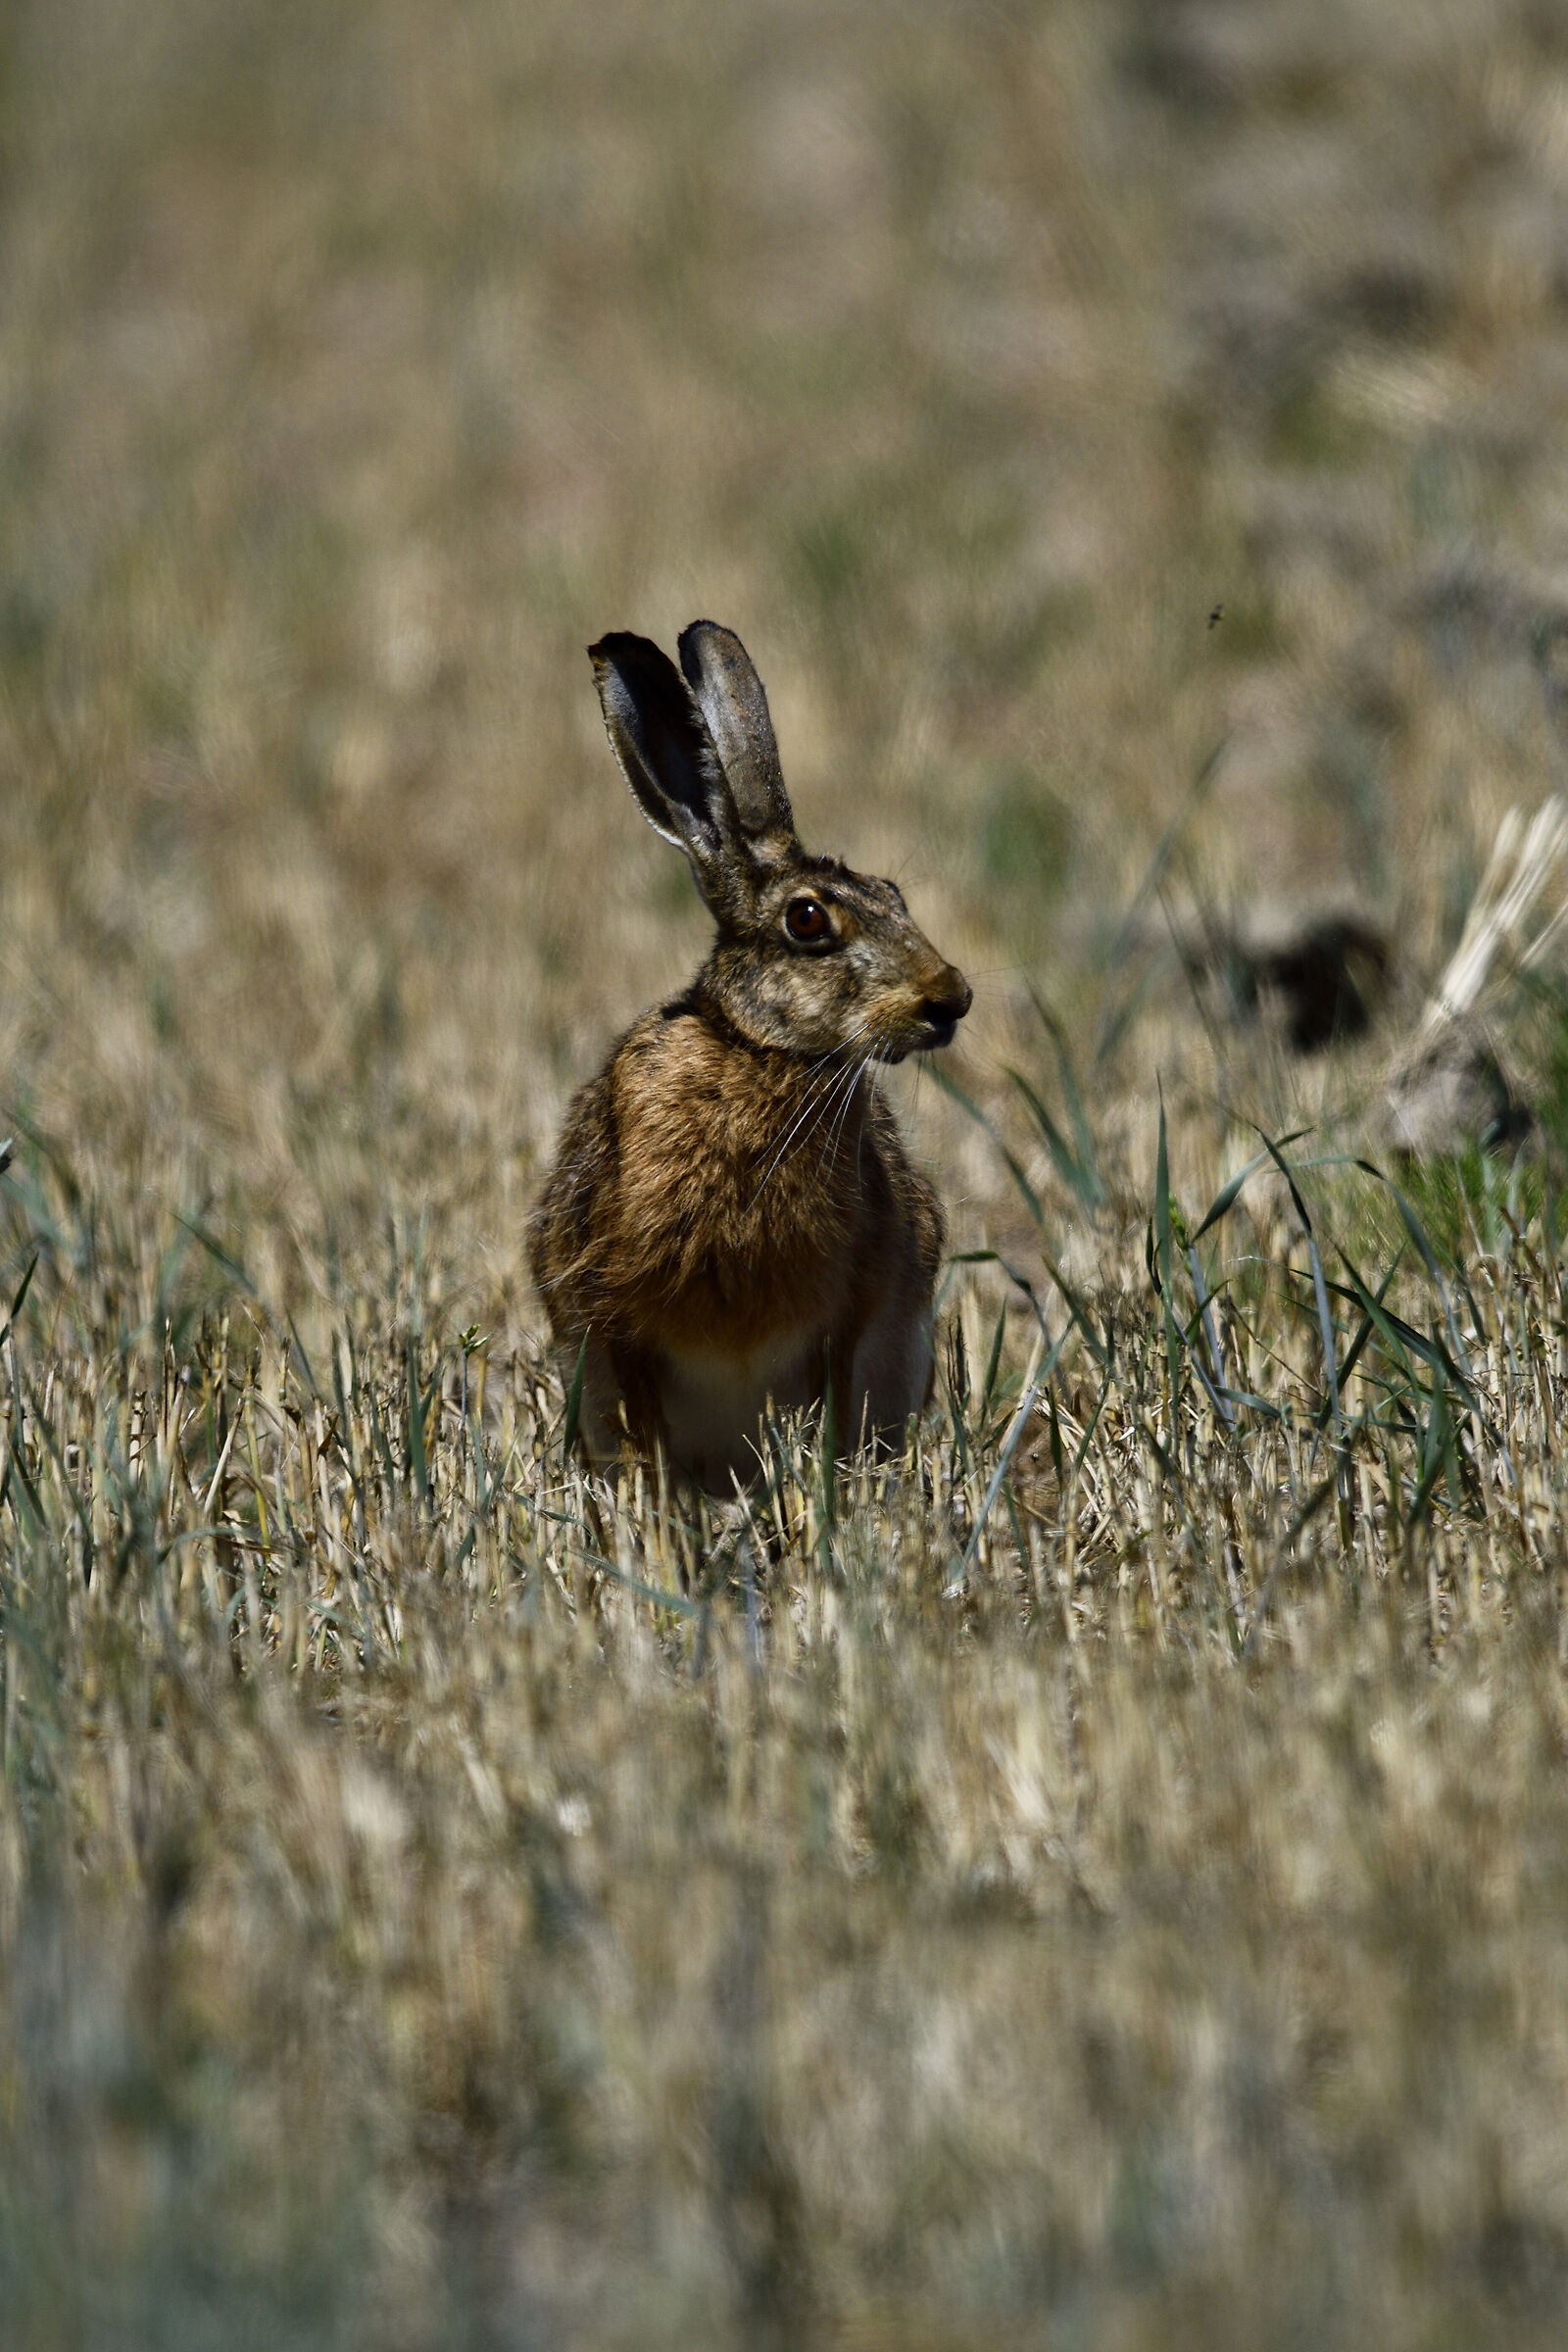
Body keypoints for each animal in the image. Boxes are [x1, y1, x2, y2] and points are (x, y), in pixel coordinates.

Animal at [528, 620, 971, 1492]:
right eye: (807, 920)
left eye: (896, 896)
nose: (950, 999)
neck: (759, 1052)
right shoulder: (613, 1319)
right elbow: (643, 1427)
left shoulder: (850, 1314)